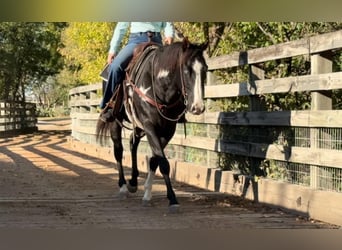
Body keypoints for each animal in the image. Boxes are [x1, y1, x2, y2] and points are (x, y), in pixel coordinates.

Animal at [96, 38, 208, 211]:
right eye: (186, 70)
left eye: (205, 70)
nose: (198, 107)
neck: (159, 86)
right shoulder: (150, 126)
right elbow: (163, 163)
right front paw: (173, 199)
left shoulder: (167, 131)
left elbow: (155, 159)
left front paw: (147, 193)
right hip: (115, 121)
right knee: (118, 151)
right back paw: (123, 186)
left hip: (138, 126)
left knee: (132, 143)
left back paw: (133, 182)